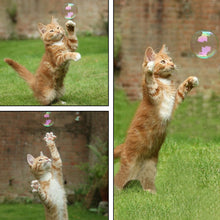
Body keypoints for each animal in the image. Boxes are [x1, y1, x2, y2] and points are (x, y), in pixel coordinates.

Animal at [114, 44, 199, 192]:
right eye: (163, 61)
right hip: (128, 164)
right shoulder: (153, 95)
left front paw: (190, 80)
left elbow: (181, 90)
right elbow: (151, 82)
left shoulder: (174, 102)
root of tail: (123, 145)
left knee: (146, 182)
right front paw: (149, 69)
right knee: (118, 179)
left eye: (170, 60)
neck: (164, 81)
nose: (172, 64)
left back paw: (151, 192)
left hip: (150, 167)